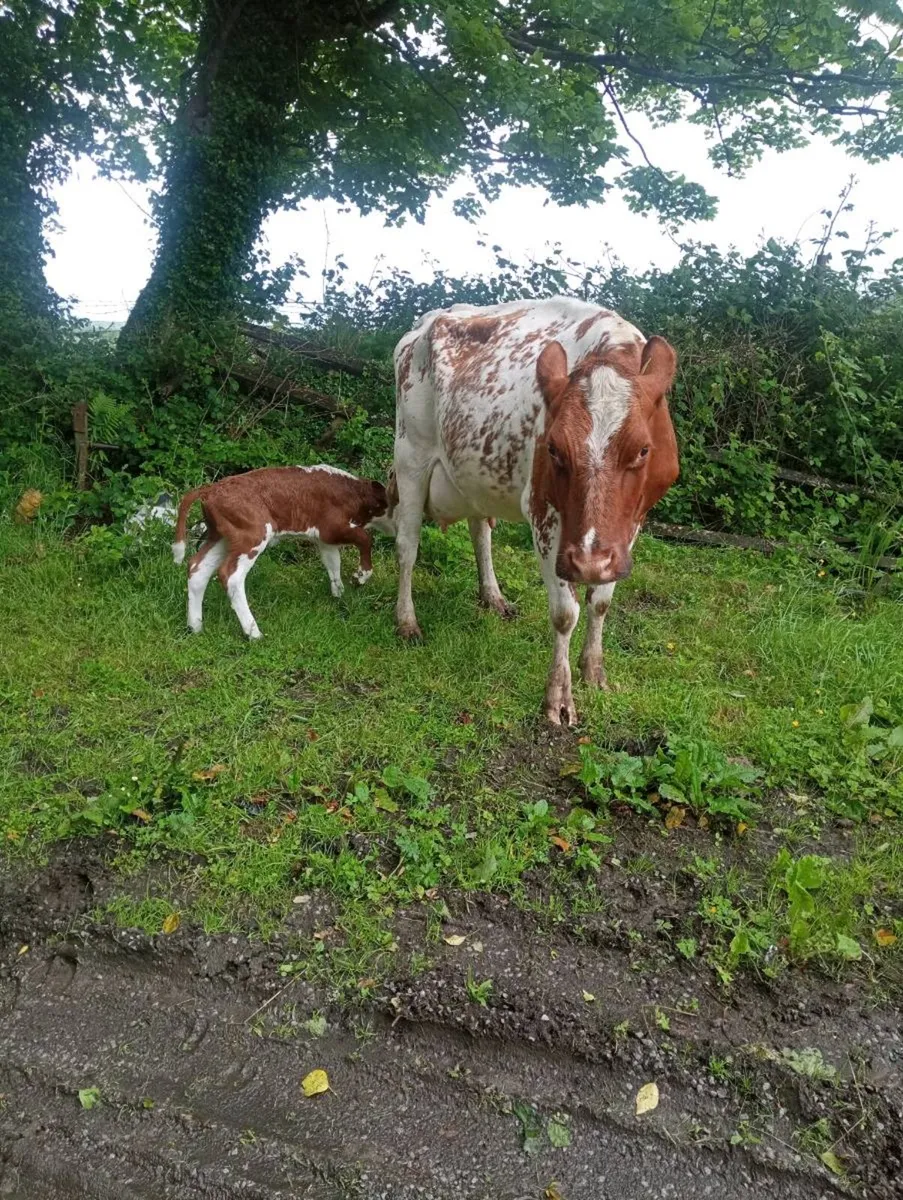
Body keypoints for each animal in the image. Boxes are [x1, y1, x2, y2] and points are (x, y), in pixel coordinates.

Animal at [171, 465, 396, 639]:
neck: (353, 493)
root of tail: (211, 488)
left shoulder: (324, 539)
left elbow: (333, 563)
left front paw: (339, 596)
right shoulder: (332, 528)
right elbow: (366, 539)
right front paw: (361, 576)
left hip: (222, 537)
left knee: (197, 569)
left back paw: (195, 626)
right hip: (252, 535)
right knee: (231, 576)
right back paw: (253, 633)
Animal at [390, 297, 679, 724]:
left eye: (643, 449)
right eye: (554, 449)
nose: (588, 562)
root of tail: (427, 321)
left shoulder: (631, 522)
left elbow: (601, 601)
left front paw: (595, 671)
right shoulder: (544, 514)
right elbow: (565, 612)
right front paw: (558, 698)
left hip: (475, 475)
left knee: (480, 531)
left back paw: (493, 596)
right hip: (410, 458)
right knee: (407, 546)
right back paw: (407, 620)